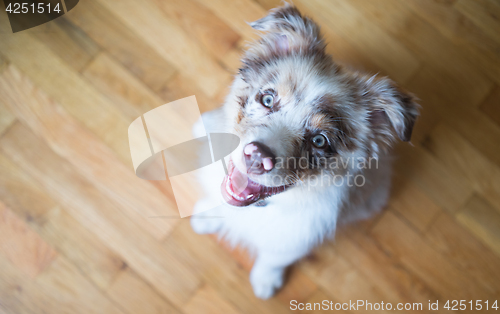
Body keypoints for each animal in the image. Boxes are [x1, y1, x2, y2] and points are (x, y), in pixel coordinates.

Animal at [190, 4, 418, 300]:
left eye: (320, 141)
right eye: (267, 99)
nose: (256, 156)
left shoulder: (295, 239)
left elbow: (273, 258)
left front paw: (265, 281)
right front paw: (206, 218)